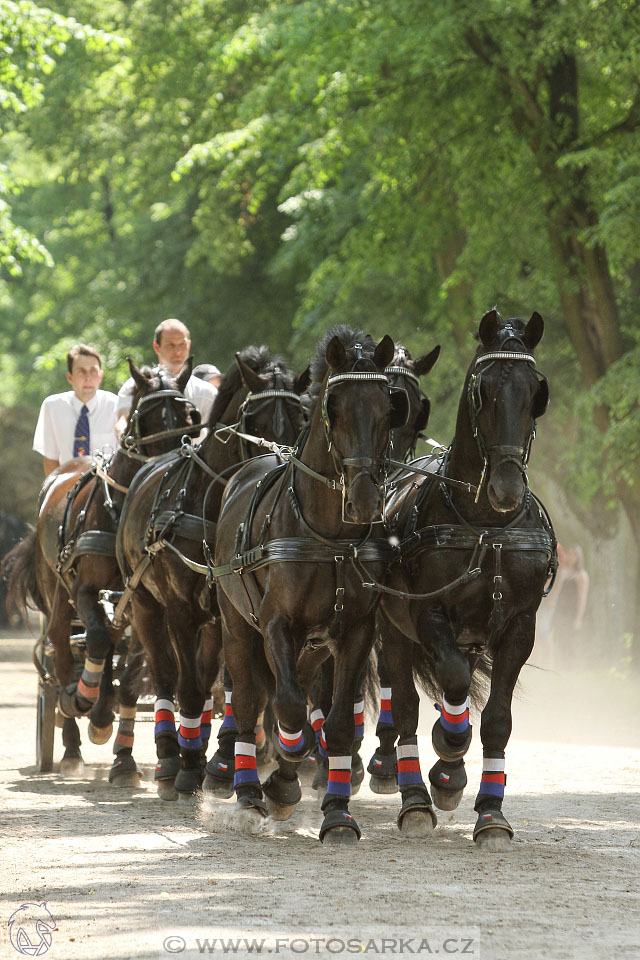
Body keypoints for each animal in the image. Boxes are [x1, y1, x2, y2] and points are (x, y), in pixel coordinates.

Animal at [116, 348, 308, 800]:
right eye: (253, 420)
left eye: (302, 418)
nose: (278, 462)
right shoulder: (181, 610)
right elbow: (186, 686)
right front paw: (186, 768)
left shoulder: (228, 614)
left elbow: (236, 688)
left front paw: (219, 763)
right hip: (146, 606)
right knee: (166, 675)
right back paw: (170, 758)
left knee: (204, 681)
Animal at [212, 326, 404, 844]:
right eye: (333, 408)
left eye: (388, 407)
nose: (364, 500)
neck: (330, 538)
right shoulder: (276, 625)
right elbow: (290, 707)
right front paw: (285, 765)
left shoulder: (355, 631)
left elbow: (336, 724)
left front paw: (336, 814)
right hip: (237, 628)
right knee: (250, 701)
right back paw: (250, 793)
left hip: (315, 646)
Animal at [376, 312, 556, 844]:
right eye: (484, 390)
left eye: (535, 390)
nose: (506, 488)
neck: (486, 526)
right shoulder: (428, 613)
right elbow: (452, 684)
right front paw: (449, 754)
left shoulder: (520, 625)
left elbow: (497, 720)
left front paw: (492, 813)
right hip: (394, 629)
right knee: (406, 707)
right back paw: (416, 795)